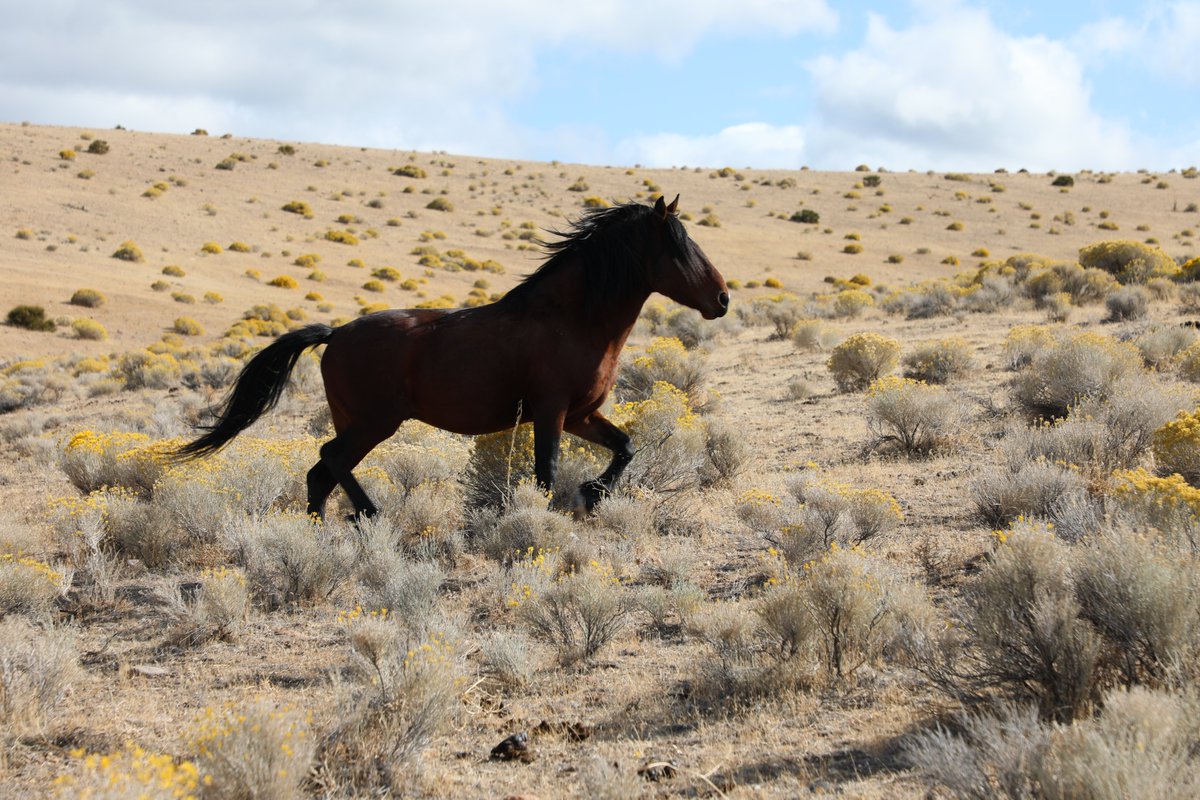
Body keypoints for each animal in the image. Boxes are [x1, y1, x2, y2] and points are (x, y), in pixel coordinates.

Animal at [175, 195, 729, 520]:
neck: (572, 319)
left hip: (357, 420)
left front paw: (592, 493)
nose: (722, 299)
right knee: (330, 459)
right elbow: (546, 472)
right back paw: (370, 514)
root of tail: (336, 335)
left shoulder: (580, 415)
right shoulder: (550, 411)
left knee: (320, 474)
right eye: (679, 246)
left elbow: (625, 448)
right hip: (377, 421)